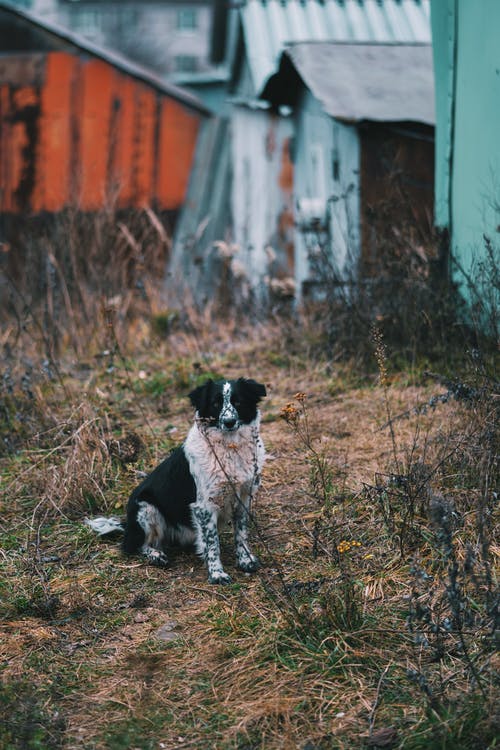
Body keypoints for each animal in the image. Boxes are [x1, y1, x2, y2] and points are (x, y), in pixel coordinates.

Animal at [87, 378, 266, 584]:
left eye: (238, 402)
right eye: (215, 403)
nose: (229, 422)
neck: (230, 447)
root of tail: (128, 526)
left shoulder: (243, 498)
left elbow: (241, 534)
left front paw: (245, 560)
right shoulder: (204, 506)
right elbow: (212, 544)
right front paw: (216, 573)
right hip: (146, 508)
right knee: (136, 545)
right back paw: (156, 555)